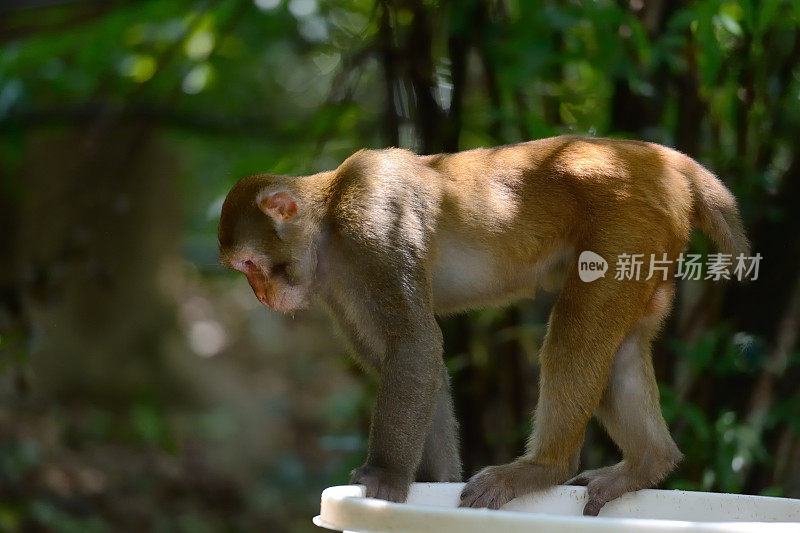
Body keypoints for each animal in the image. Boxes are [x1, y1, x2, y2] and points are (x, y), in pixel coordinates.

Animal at [217, 136, 752, 516]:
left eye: (249, 265)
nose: (260, 295)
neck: (329, 216)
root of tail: (655, 156)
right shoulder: (332, 284)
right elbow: (412, 360)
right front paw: (436, 484)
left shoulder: (374, 223)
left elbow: (414, 346)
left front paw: (384, 478)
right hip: (650, 244)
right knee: (621, 345)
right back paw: (647, 464)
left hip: (628, 222)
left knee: (574, 335)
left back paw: (543, 469)